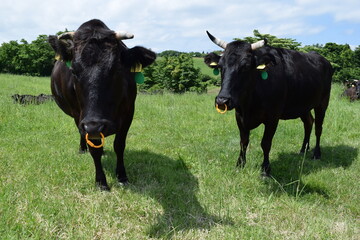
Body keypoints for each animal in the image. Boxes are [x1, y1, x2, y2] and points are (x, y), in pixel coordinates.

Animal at [48, 18, 155, 190]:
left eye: (117, 69)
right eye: (74, 71)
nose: (95, 126)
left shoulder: (129, 112)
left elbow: (119, 145)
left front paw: (122, 176)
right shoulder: (82, 118)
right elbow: (94, 149)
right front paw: (101, 181)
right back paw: (82, 148)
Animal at [204, 31, 334, 176]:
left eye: (246, 66)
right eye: (220, 66)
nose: (222, 100)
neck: (249, 105)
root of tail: (323, 59)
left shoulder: (273, 117)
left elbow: (266, 143)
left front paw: (265, 169)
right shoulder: (239, 115)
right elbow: (243, 141)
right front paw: (240, 164)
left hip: (322, 103)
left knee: (318, 127)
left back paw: (316, 153)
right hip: (303, 106)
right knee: (309, 123)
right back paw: (303, 150)